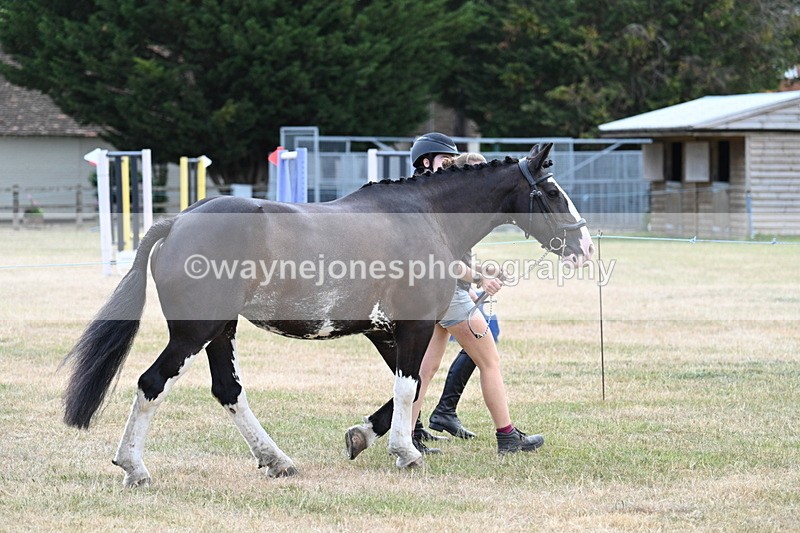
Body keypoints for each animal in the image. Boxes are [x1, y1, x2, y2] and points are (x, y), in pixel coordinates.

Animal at [62, 143, 593, 487]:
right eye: (551, 192)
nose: (585, 246)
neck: (426, 216)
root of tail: (177, 222)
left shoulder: (384, 332)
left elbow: (409, 388)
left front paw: (370, 436)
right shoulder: (415, 326)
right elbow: (409, 387)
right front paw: (406, 453)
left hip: (221, 332)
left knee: (229, 391)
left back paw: (277, 461)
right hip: (194, 333)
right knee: (152, 384)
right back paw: (135, 468)